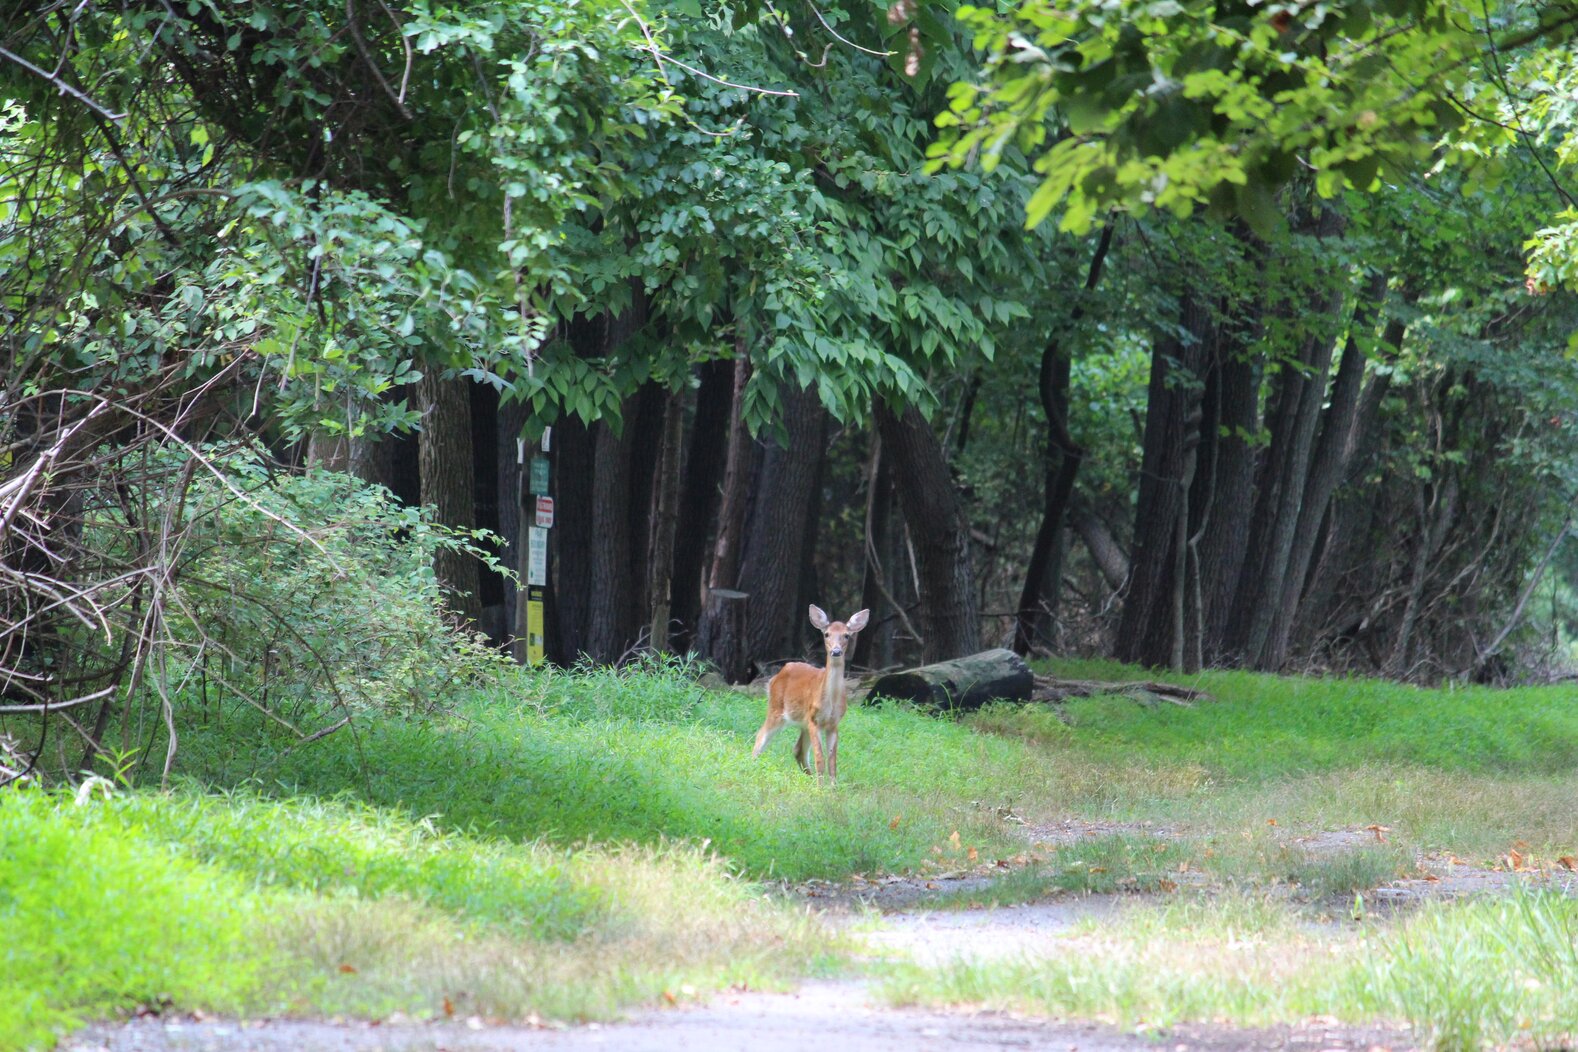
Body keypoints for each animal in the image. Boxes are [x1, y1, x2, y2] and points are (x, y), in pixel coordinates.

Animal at [753, 605, 870, 784]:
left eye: (846, 635)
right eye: (826, 634)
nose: (836, 651)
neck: (831, 702)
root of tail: (775, 677)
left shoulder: (833, 724)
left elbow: (832, 761)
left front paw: (832, 787)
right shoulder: (815, 719)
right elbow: (820, 758)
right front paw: (821, 788)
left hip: (803, 722)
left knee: (798, 750)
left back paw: (810, 778)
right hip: (776, 709)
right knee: (760, 738)